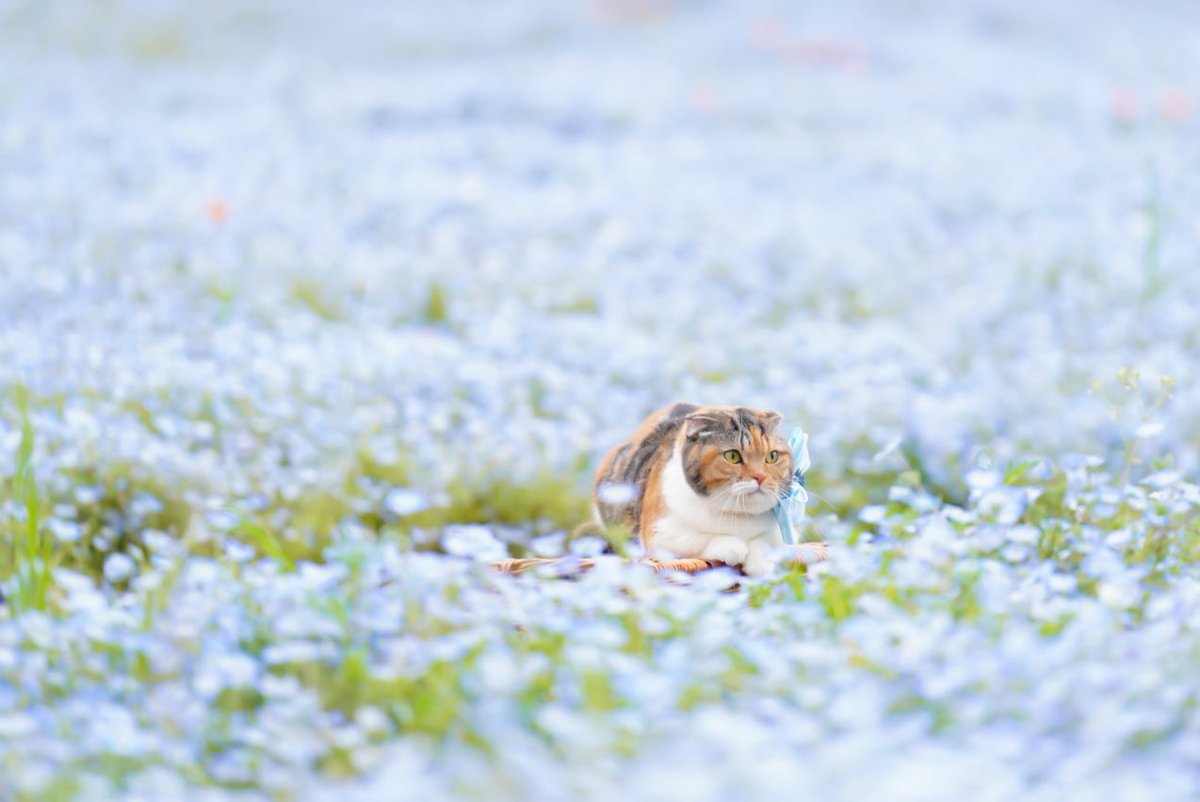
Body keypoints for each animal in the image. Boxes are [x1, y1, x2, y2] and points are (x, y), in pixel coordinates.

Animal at [592, 403, 796, 573]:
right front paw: (732, 547)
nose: (760, 477)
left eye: (772, 456)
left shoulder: (784, 533)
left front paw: (761, 561)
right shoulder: (658, 534)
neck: (737, 514)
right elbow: (696, 540)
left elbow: (767, 542)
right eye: (732, 456)